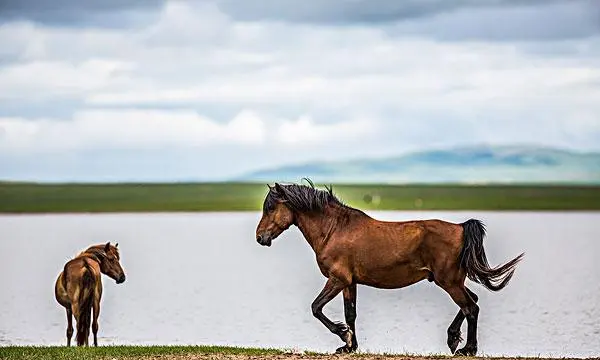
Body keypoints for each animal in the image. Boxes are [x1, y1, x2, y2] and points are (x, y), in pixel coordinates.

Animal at [255, 181, 524, 356]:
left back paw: (468, 349)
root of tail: (460, 228)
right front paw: (349, 346)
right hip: (454, 282)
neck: (334, 229)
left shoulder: (337, 279)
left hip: (449, 282)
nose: (260, 237)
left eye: (270, 208)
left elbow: (316, 307)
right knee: (472, 302)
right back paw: (453, 339)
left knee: (471, 307)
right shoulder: (349, 283)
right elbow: (350, 314)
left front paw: (342, 334)